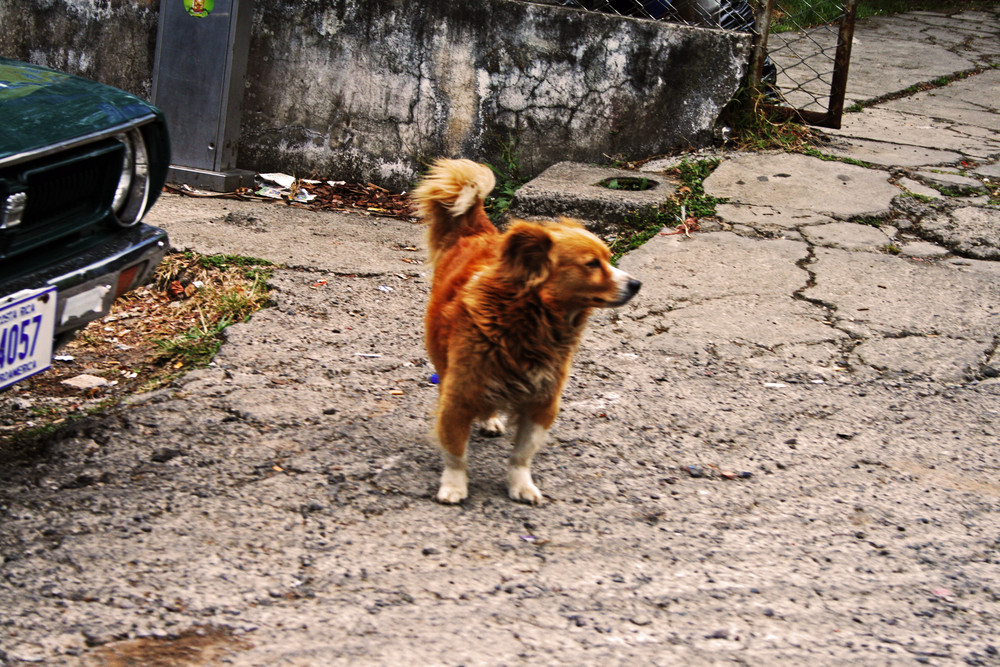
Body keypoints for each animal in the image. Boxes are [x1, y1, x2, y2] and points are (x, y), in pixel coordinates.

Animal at [412, 160, 640, 506]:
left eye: (609, 259)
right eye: (592, 264)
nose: (636, 284)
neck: (531, 320)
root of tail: (476, 231)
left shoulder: (542, 402)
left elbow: (521, 455)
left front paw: (521, 485)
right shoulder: (460, 394)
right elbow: (455, 451)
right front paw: (453, 485)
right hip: (443, 356)